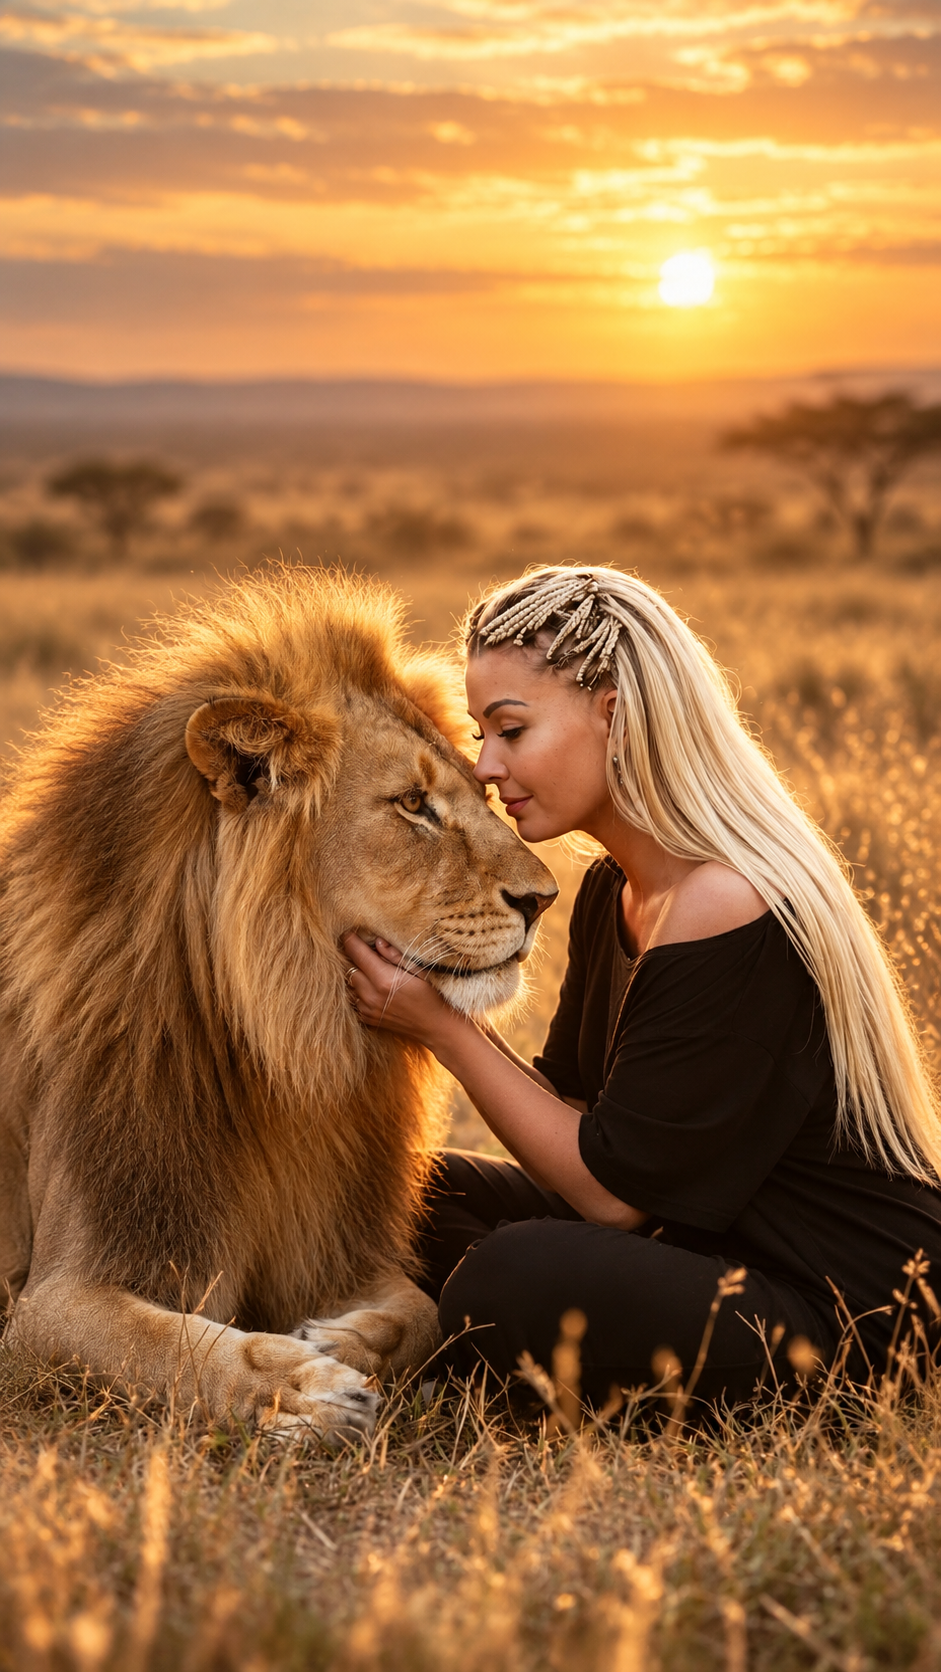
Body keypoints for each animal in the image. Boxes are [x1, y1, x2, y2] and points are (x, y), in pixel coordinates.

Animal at [0, 567, 557, 1440]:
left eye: (486, 792)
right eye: (412, 804)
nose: (543, 899)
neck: (285, 1051)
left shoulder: (338, 1241)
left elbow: (425, 1308)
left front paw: (337, 1340)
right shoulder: (48, 1304)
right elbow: (171, 1346)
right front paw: (299, 1388)